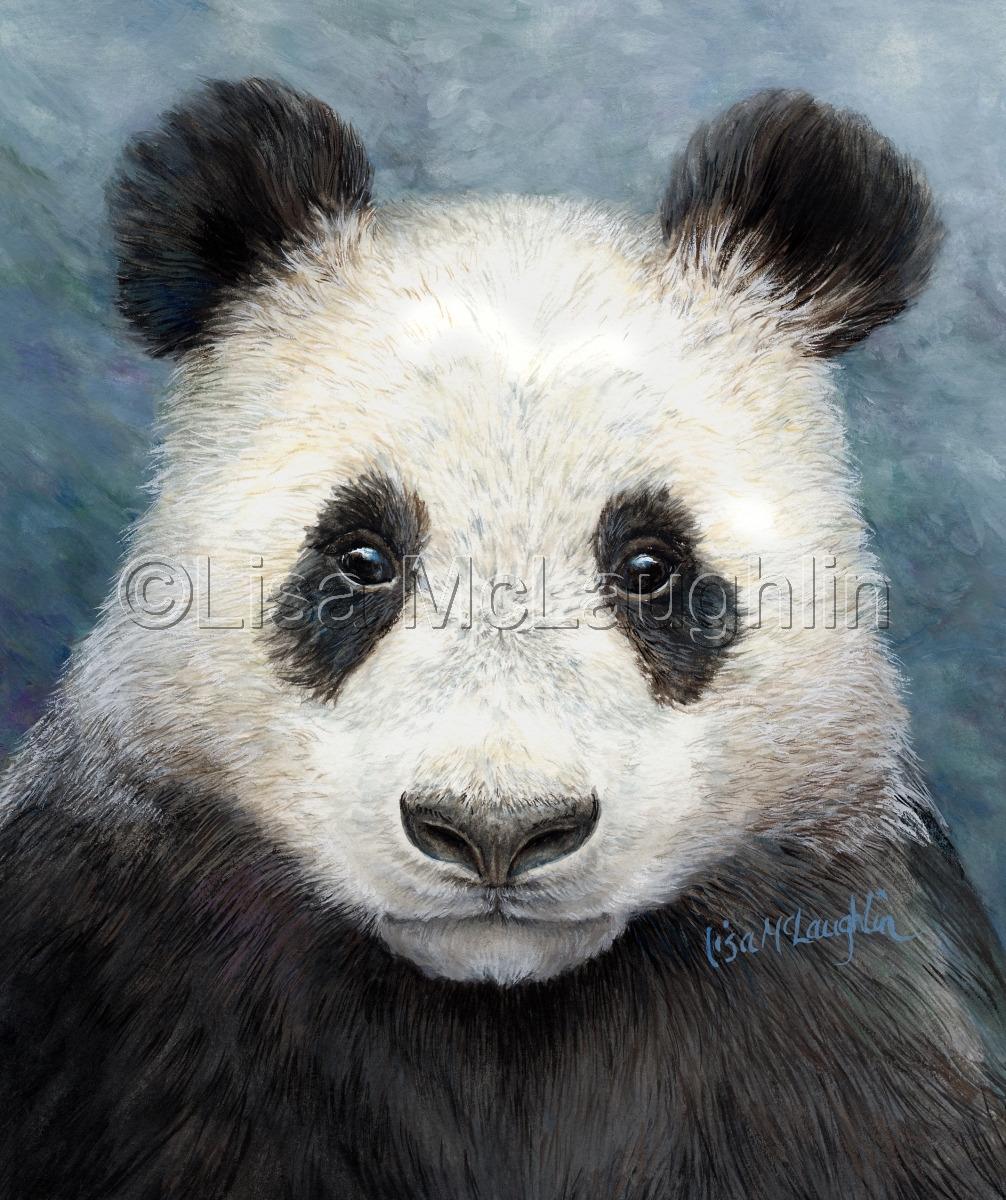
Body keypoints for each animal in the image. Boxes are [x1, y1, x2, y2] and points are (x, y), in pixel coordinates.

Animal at [1, 76, 1005, 1200]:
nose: (496, 830)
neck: (499, 1015)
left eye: (649, 567)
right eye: (360, 557)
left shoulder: (845, 998)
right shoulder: (123, 953)